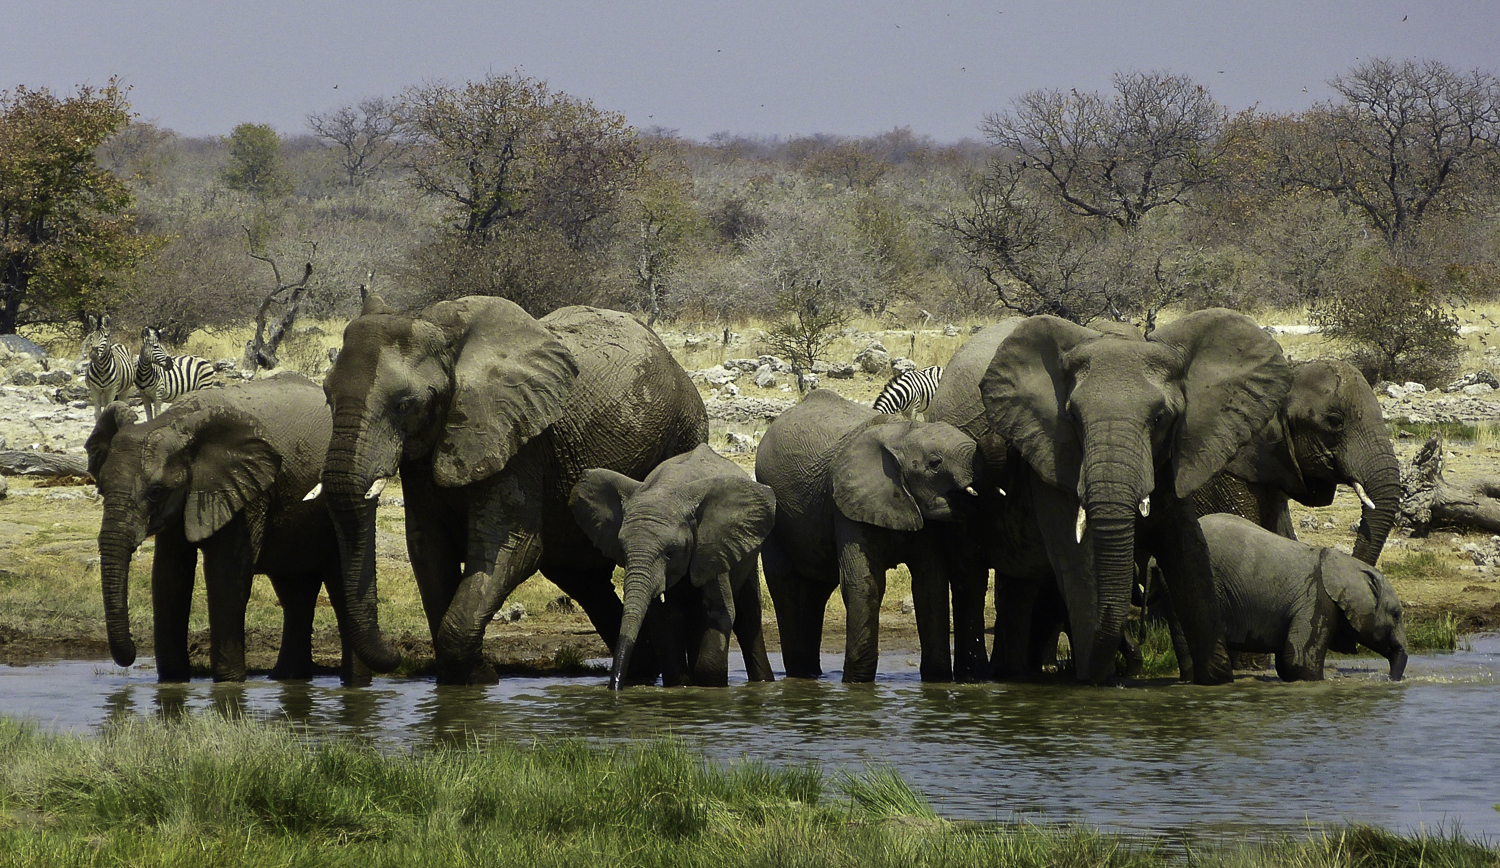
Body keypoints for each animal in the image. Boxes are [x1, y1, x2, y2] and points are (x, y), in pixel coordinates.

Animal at [86, 374, 365, 684]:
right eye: (101, 488)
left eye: (156, 492)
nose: (131, 654)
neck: (175, 422)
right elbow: (169, 575)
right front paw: (172, 683)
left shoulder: (246, 492)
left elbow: (226, 574)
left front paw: (228, 683)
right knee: (294, 592)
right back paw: (286, 678)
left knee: (339, 585)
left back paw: (353, 683)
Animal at [319, 294, 708, 684]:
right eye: (326, 394)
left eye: (405, 405)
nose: (398, 653)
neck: (445, 333)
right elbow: (427, 549)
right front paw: (464, 678)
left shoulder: (520, 444)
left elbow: (512, 549)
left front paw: (481, 679)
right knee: (583, 579)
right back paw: (640, 671)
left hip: (684, 432)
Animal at [570, 443, 776, 689]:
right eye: (622, 550)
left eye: (671, 552)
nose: (615, 686)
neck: (668, 488)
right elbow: (664, 617)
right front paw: (682, 686)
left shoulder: (712, 545)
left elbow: (717, 611)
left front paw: (709, 687)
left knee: (748, 616)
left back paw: (763, 682)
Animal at [754, 388, 985, 683]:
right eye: (935, 463)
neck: (902, 434)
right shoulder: (846, 502)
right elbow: (865, 583)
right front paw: (857, 683)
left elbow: (930, 583)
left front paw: (937, 680)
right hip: (777, 518)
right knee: (785, 587)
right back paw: (800, 675)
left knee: (817, 591)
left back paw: (811, 674)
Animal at [929, 309, 1291, 685]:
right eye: (1073, 417)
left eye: (1160, 418)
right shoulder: (1051, 457)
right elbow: (1078, 562)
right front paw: (1099, 683)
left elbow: (1187, 551)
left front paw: (1216, 680)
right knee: (970, 574)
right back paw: (975, 676)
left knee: (1019, 584)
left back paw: (1011, 675)